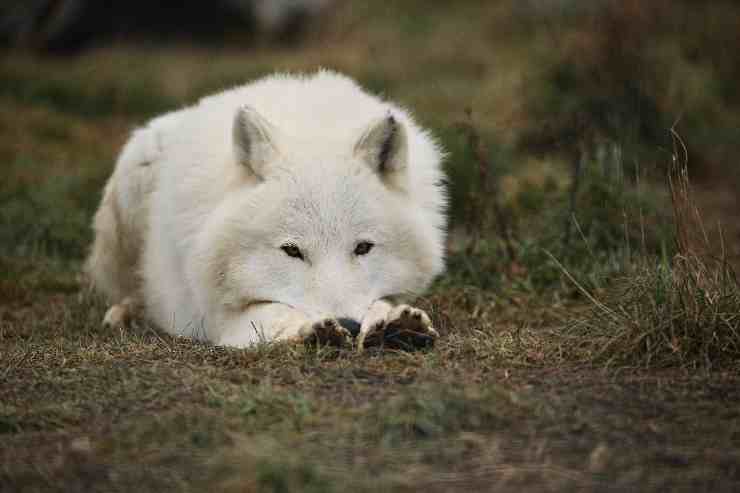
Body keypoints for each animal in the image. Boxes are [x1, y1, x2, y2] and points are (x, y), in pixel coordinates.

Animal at [86, 69, 446, 348]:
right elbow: (270, 313)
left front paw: (396, 325)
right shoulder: (216, 314)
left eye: (363, 248)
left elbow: (385, 300)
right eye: (292, 251)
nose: (349, 325)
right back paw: (129, 314)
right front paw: (312, 331)